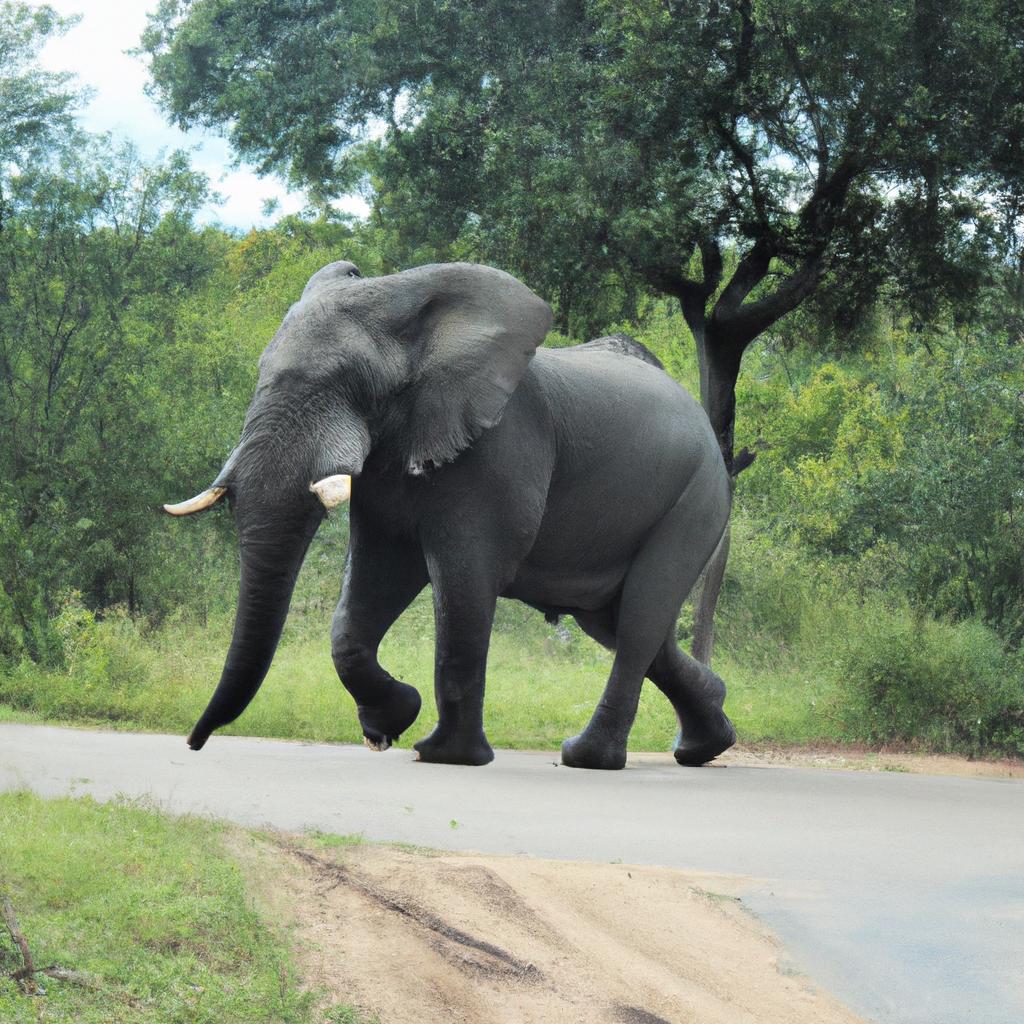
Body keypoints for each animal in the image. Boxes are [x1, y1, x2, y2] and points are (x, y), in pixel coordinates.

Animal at [163, 258, 737, 770]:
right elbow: (374, 580)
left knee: (640, 619)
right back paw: (707, 741)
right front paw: (389, 727)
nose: (193, 743)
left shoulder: (498, 451)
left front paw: (443, 756)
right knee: (621, 625)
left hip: (698, 497)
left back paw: (587, 758)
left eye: (348, 379)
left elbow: (464, 581)